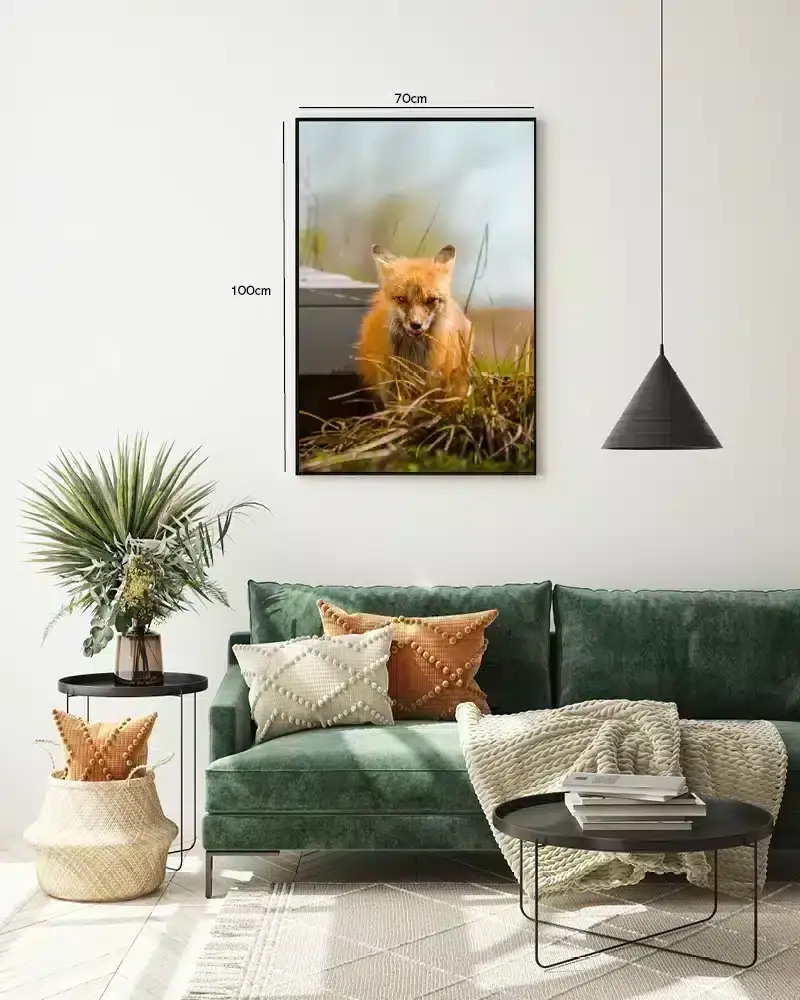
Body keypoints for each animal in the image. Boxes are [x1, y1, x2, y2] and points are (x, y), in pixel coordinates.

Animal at [356, 244, 472, 403]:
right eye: (401, 298)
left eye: (431, 300)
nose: (416, 324)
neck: (413, 357)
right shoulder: (391, 389)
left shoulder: (431, 385)